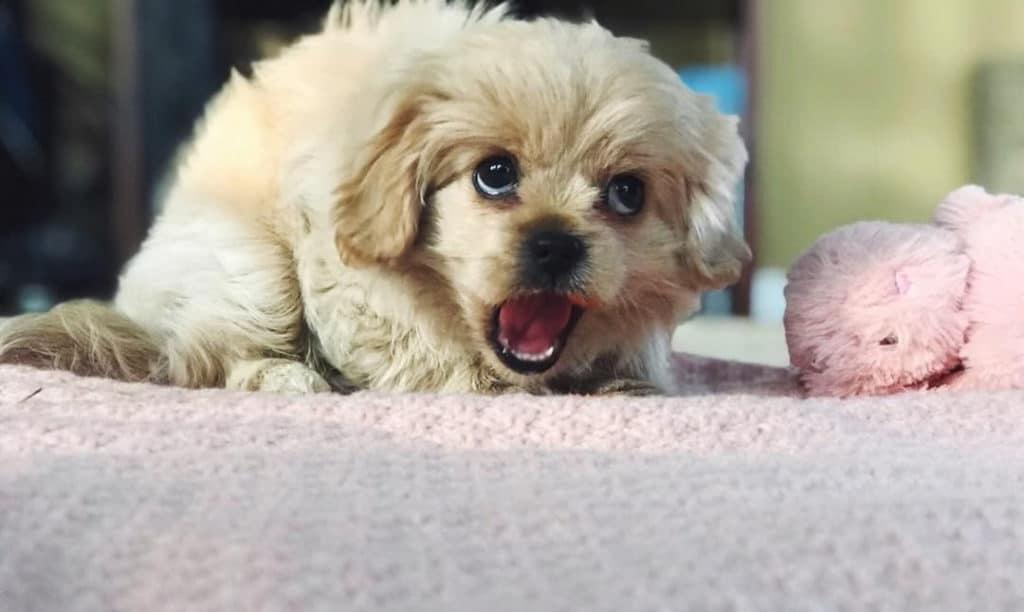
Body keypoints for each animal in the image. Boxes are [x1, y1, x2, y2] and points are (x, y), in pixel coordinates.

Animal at [0, 0, 753, 399]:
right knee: (210, 359)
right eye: (494, 174)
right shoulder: (353, 291)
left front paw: (627, 385)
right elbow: (436, 364)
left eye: (627, 194)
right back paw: (288, 377)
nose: (555, 242)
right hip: (249, 268)